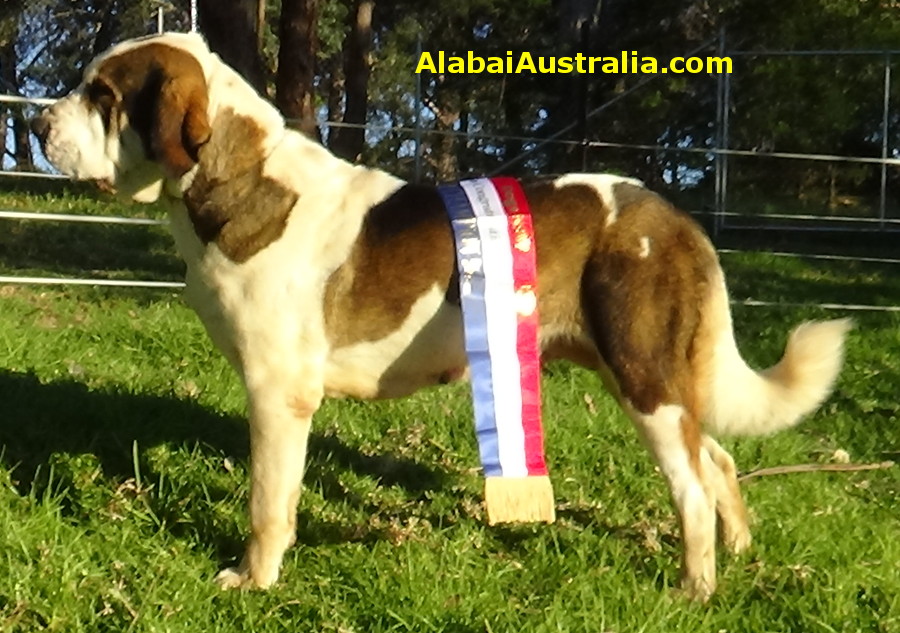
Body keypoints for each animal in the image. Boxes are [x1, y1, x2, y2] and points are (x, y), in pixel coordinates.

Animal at [31, 32, 852, 600]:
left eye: (102, 95)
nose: (36, 126)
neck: (237, 180)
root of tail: (675, 216)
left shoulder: (278, 394)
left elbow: (269, 500)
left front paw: (252, 580)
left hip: (642, 370)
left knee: (690, 484)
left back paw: (695, 587)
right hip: (645, 374)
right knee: (716, 457)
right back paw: (739, 552)